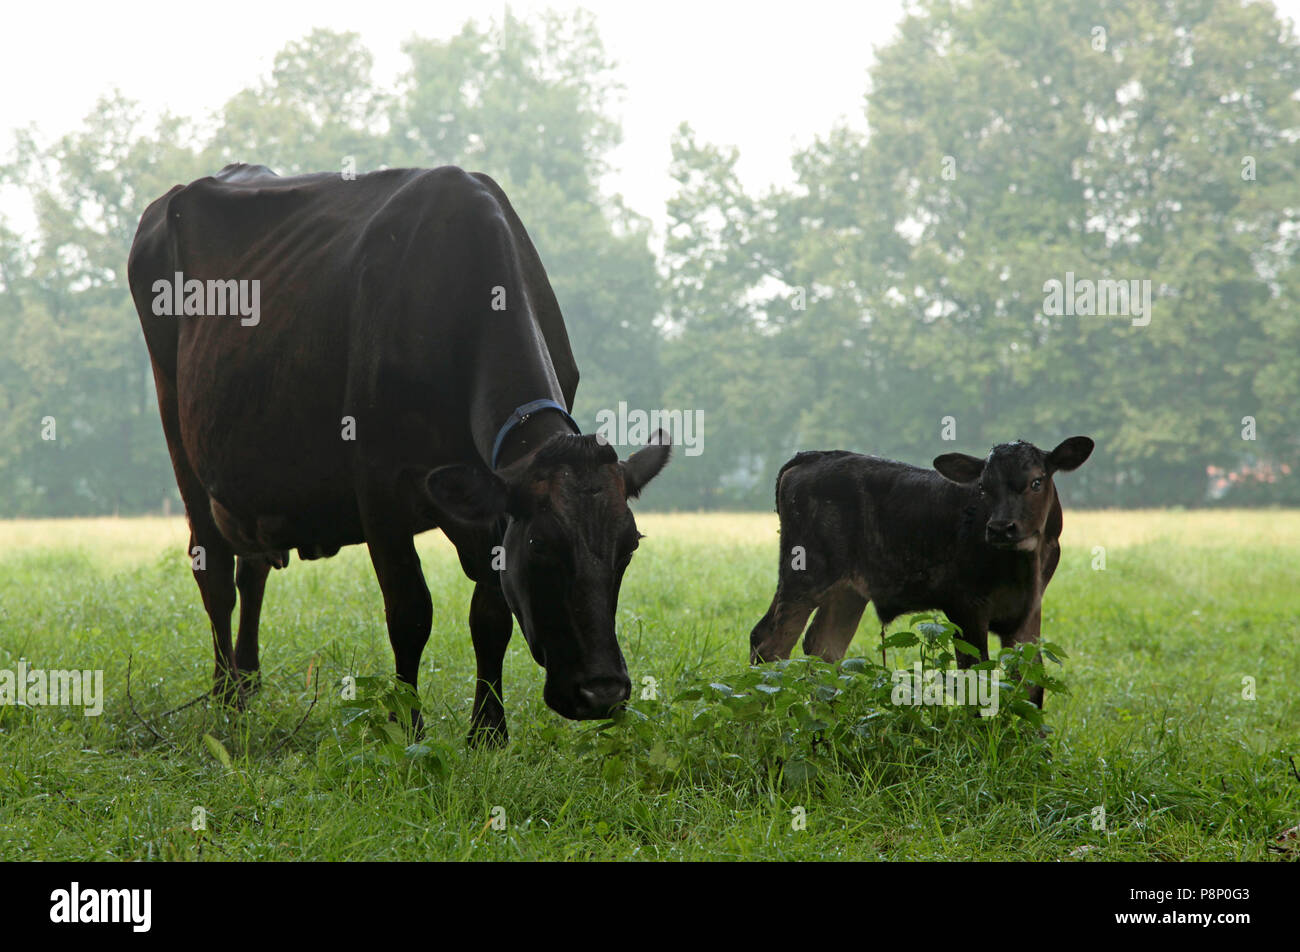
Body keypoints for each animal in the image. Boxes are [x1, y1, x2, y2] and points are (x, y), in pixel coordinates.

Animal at [127, 163, 670, 746]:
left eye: (629, 547)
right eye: (543, 545)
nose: (602, 691)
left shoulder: (492, 503)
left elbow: (490, 614)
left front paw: (488, 730)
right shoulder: (380, 485)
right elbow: (410, 612)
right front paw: (408, 728)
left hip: (252, 487)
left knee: (250, 571)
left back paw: (248, 685)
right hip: (180, 432)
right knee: (213, 574)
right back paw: (227, 697)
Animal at [749, 437, 1094, 708]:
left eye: (1036, 481)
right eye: (983, 487)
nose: (999, 528)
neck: (1022, 569)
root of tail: (812, 456)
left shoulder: (1029, 611)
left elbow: (1031, 683)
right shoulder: (965, 607)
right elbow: (975, 679)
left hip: (846, 591)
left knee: (822, 648)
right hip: (804, 575)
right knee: (771, 645)